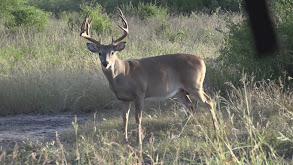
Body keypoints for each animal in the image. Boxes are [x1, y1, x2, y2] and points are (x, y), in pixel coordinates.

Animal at [78, 8, 218, 148]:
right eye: (99, 53)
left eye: (113, 52)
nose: (105, 63)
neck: (123, 74)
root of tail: (202, 60)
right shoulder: (124, 99)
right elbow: (125, 118)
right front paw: (125, 141)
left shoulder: (139, 93)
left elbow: (138, 118)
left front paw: (138, 141)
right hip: (180, 91)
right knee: (190, 106)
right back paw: (175, 134)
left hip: (195, 85)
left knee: (209, 101)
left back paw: (216, 132)